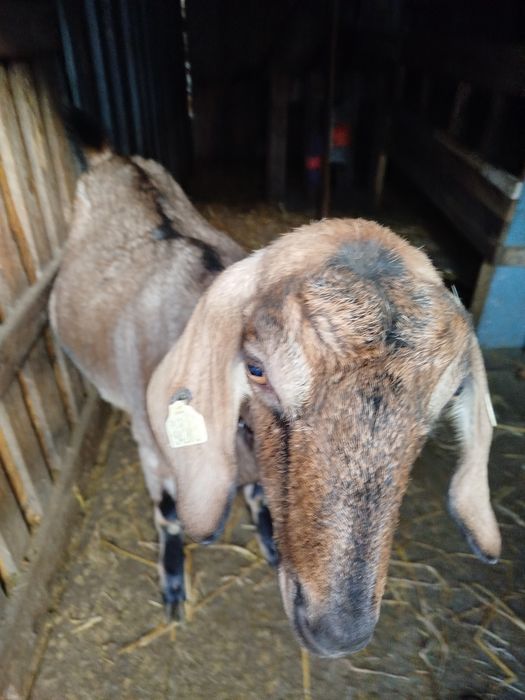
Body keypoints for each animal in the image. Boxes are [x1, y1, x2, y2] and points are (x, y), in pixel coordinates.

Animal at [50, 121, 500, 658]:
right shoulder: (154, 449)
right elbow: (171, 516)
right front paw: (175, 587)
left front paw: (268, 536)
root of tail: (115, 157)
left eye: (451, 395)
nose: (337, 634)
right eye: (256, 369)